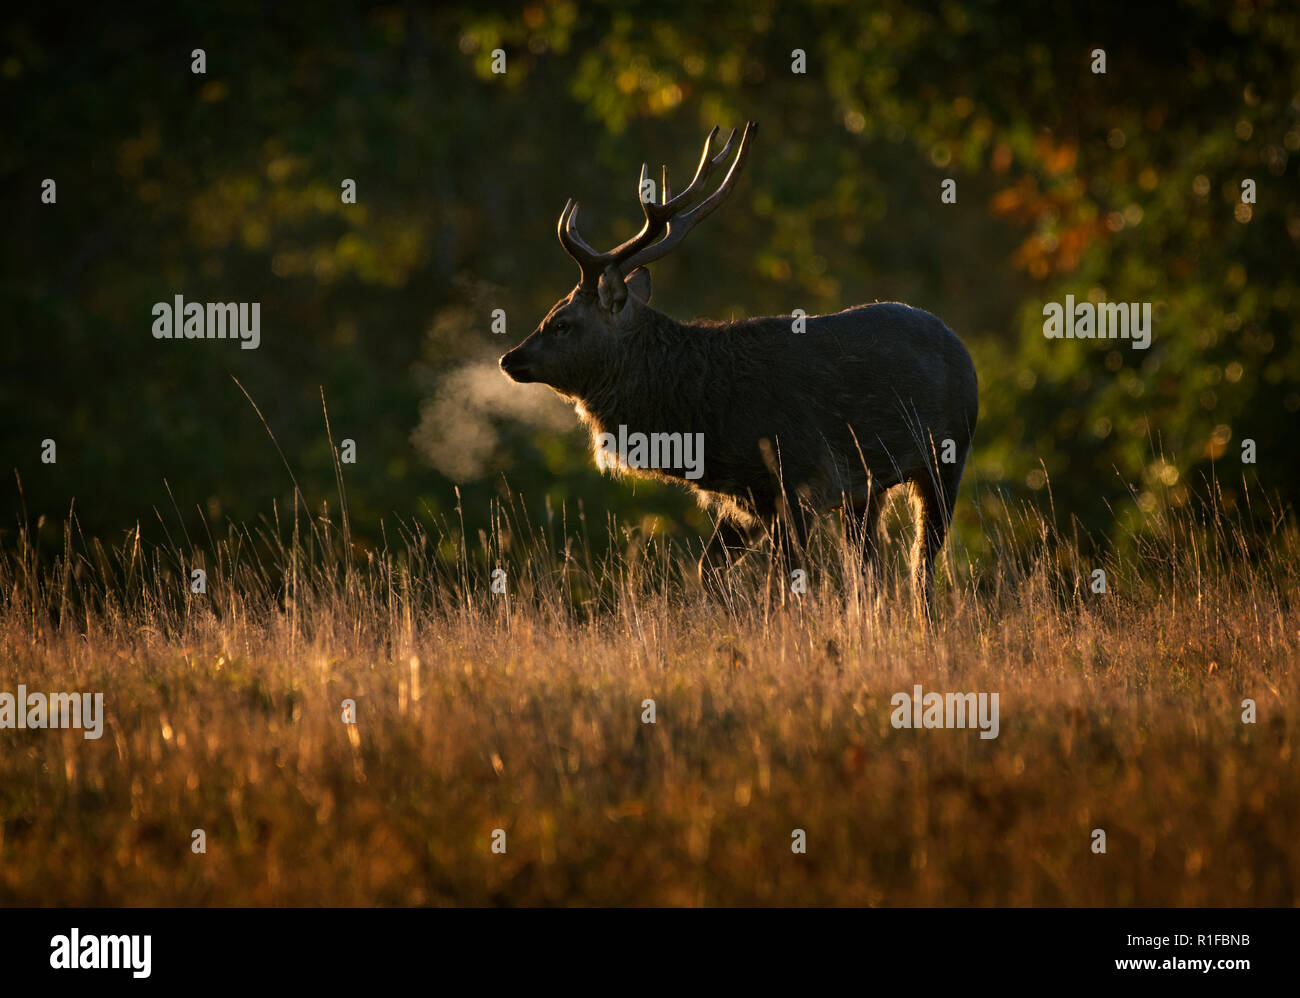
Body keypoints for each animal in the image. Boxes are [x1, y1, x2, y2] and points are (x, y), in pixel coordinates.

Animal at [499, 122, 979, 614]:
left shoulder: (798, 482)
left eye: (561, 324)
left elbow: (789, 583)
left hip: (946, 458)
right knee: (873, 571)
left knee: (920, 565)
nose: (510, 358)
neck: (703, 425)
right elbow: (707, 571)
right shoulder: (746, 500)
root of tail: (960, 347)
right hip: (868, 491)